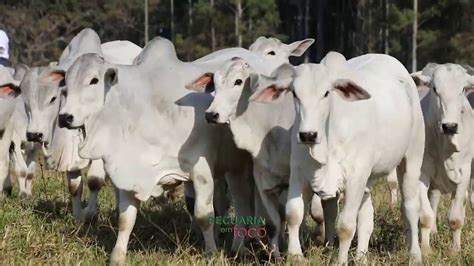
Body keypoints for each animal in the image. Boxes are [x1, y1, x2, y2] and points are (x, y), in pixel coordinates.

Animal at [250, 52, 424, 264]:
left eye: (326, 93)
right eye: (295, 94)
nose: (308, 135)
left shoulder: (355, 178)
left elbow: (346, 226)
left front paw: (340, 261)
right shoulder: (299, 174)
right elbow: (294, 214)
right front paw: (296, 256)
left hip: (412, 158)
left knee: (410, 207)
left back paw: (415, 255)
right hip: (367, 180)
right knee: (364, 217)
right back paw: (360, 257)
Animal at [412, 63, 474, 255]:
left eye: (463, 89)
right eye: (435, 89)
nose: (450, 126)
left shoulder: (465, 171)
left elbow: (455, 218)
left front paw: (455, 250)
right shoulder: (422, 172)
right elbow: (425, 216)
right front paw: (425, 250)